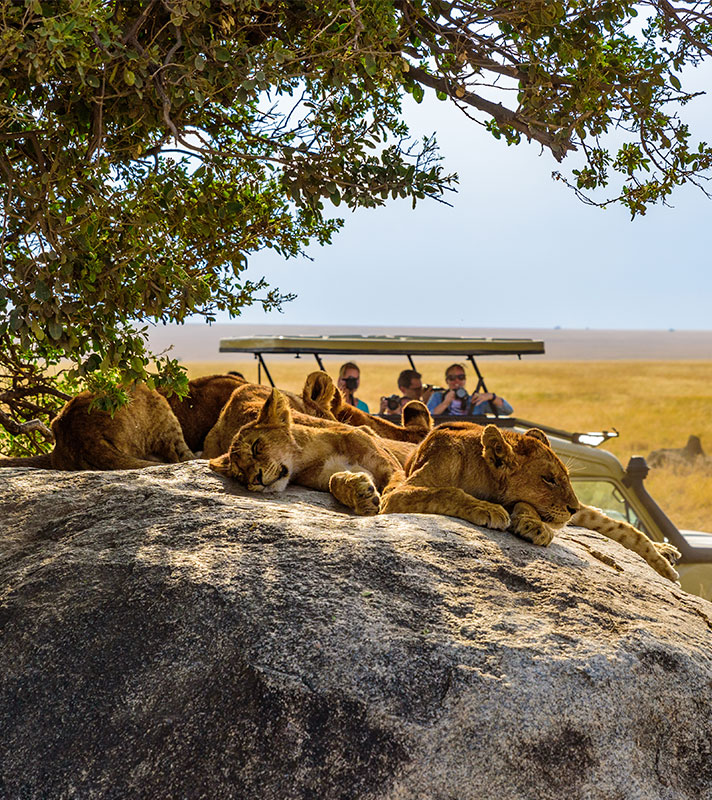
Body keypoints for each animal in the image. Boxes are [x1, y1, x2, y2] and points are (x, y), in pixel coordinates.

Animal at [208, 387, 405, 515]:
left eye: (256, 447)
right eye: (239, 474)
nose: (256, 480)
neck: (313, 456)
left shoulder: (389, 465)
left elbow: (395, 483)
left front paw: (389, 501)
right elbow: (334, 481)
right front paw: (361, 495)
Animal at [380, 421, 681, 582]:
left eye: (566, 477)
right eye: (549, 479)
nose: (572, 507)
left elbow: (526, 507)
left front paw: (533, 526)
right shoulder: (392, 496)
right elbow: (446, 492)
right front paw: (486, 509)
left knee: (623, 528)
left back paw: (665, 559)